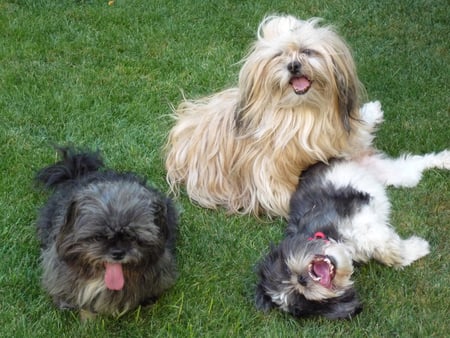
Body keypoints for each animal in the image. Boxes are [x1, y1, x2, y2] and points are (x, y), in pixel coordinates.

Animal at [167, 15, 382, 217]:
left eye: (307, 51)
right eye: (279, 55)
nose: (293, 65)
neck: (302, 112)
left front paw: (372, 112)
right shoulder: (271, 172)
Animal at [255, 150, 448, 320]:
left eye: (287, 271)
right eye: (302, 299)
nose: (302, 280)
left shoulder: (356, 213)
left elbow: (383, 244)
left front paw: (416, 247)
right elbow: (386, 250)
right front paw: (415, 249)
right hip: (396, 174)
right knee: (412, 165)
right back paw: (444, 161)